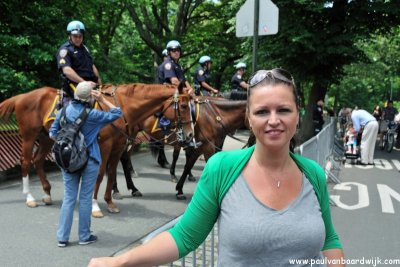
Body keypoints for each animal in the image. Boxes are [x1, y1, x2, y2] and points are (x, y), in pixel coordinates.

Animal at [0, 82, 192, 210]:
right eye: (183, 106)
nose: (190, 134)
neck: (121, 106)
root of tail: (23, 96)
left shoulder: (118, 147)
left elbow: (112, 173)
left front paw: (110, 201)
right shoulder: (104, 146)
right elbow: (100, 174)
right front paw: (94, 205)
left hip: (46, 137)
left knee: (38, 160)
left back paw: (47, 194)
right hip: (29, 136)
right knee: (26, 162)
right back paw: (29, 197)